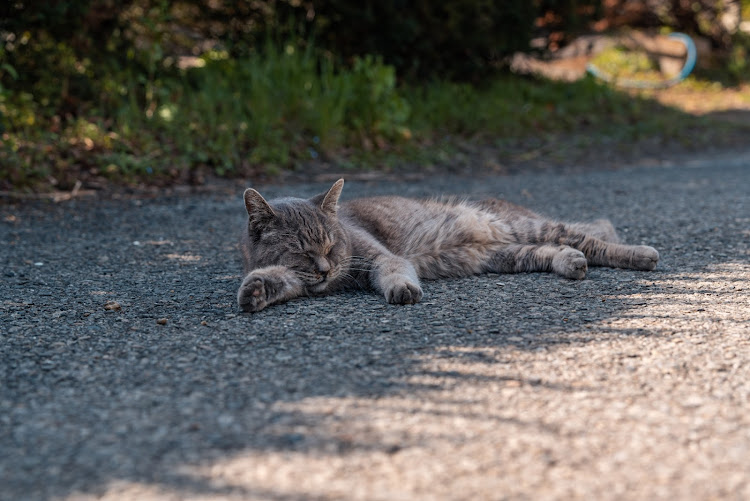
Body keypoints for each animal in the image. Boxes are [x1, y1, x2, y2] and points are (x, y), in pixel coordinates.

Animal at [238, 179, 660, 312]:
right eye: (304, 252)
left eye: (330, 247)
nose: (325, 270)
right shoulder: (298, 279)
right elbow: (278, 279)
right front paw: (254, 291)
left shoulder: (378, 256)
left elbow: (394, 270)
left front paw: (402, 289)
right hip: (505, 255)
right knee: (557, 251)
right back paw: (572, 263)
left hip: (530, 227)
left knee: (591, 235)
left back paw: (640, 253)